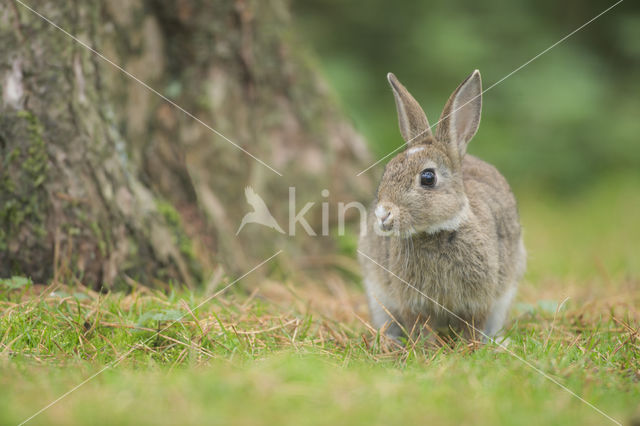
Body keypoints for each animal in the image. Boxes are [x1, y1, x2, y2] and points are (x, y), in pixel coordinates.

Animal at [358, 70, 528, 342]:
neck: (436, 232)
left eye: (428, 177)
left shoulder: (480, 299)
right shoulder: (411, 302)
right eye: (387, 171)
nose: (383, 214)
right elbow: (419, 327)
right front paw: (424, 347)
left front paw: (471, 346)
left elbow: (473, 325)